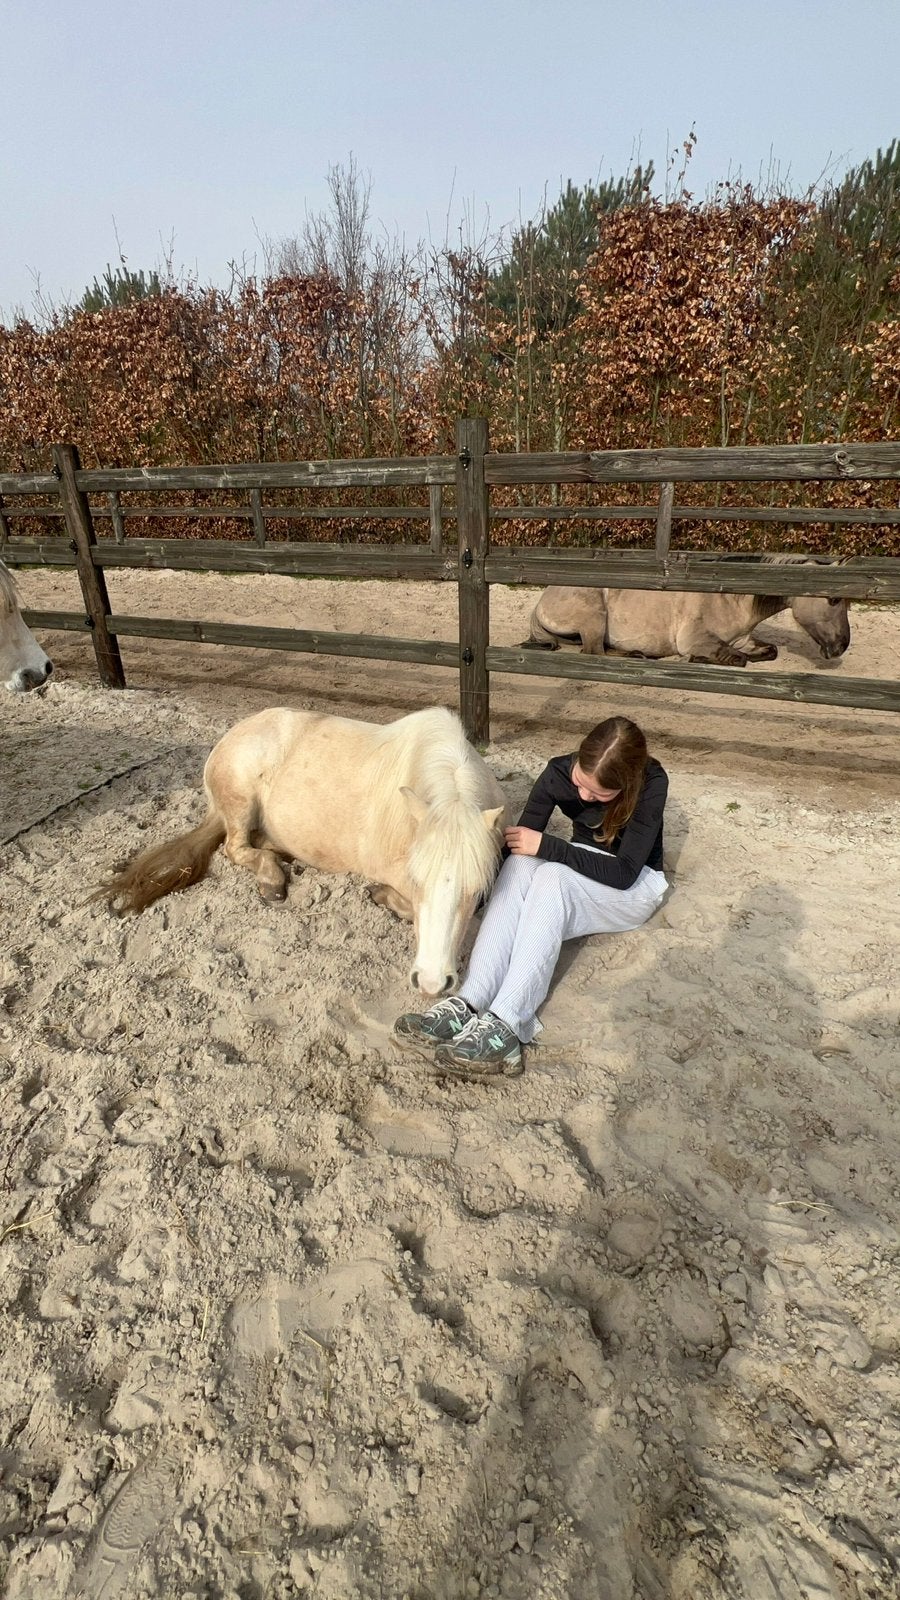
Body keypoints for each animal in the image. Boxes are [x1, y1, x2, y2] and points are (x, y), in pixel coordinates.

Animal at [98, 705, 507, 997]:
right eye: (416, 880)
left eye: (477, 893)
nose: (433, 984)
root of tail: (231, 736)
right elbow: (402, 901)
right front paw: (382, 896)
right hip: (240, 799)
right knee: (234, 846)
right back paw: (271, 878)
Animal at [524, 557, 851, 667]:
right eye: (834, 600)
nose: (841, 647)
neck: (728, 598)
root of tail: (542, 599)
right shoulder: (698, 639)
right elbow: (738, 659)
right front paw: (693, 659)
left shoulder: (743, 640)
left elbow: (768, 651)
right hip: (594, 616)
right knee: (594, 652)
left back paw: (637, 654)